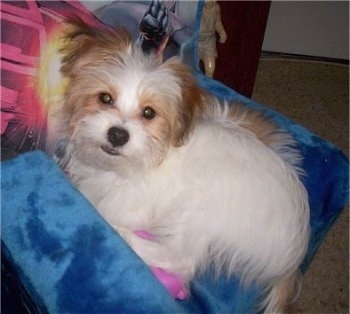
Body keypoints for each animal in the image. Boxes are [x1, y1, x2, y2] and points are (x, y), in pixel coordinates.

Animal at [47, 20, 310, 312]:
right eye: (105, 98)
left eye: (149, 113)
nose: (117, 135)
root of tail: (293, 256)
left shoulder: (131, 204)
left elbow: (102, 203)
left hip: (197, 208)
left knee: (179, 259)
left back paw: (123, 235)